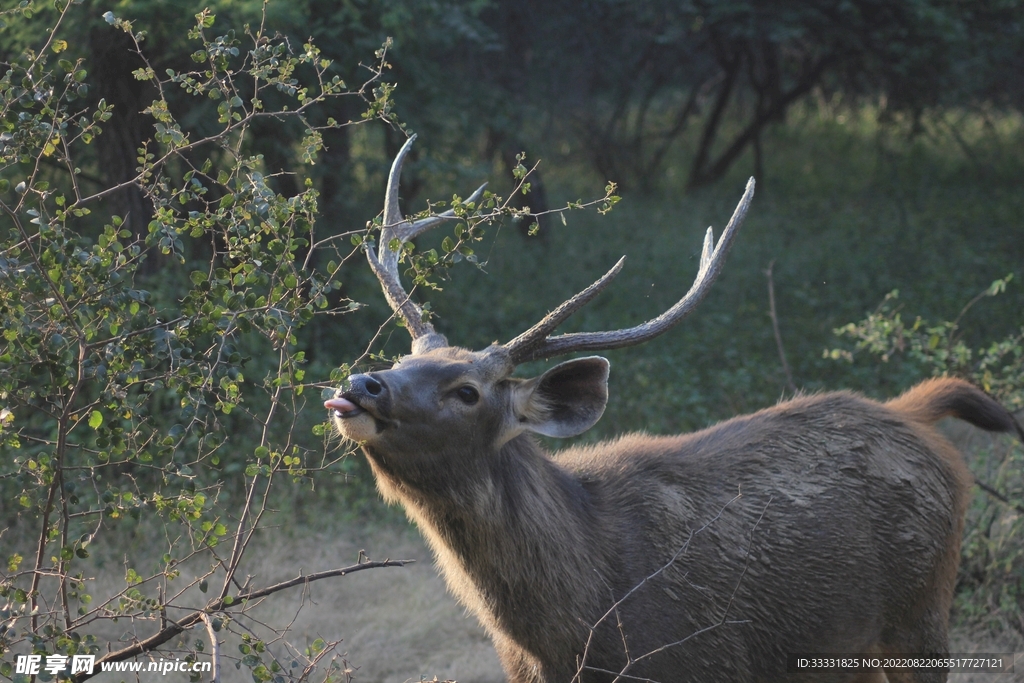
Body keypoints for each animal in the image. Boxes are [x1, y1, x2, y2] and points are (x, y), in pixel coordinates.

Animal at [325, 135, 1019, 683]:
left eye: (467, 390)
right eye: (404, 356)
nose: (363, 382)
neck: (574, 633)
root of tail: (911, 414)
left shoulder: (705, 663)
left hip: (922, 609)